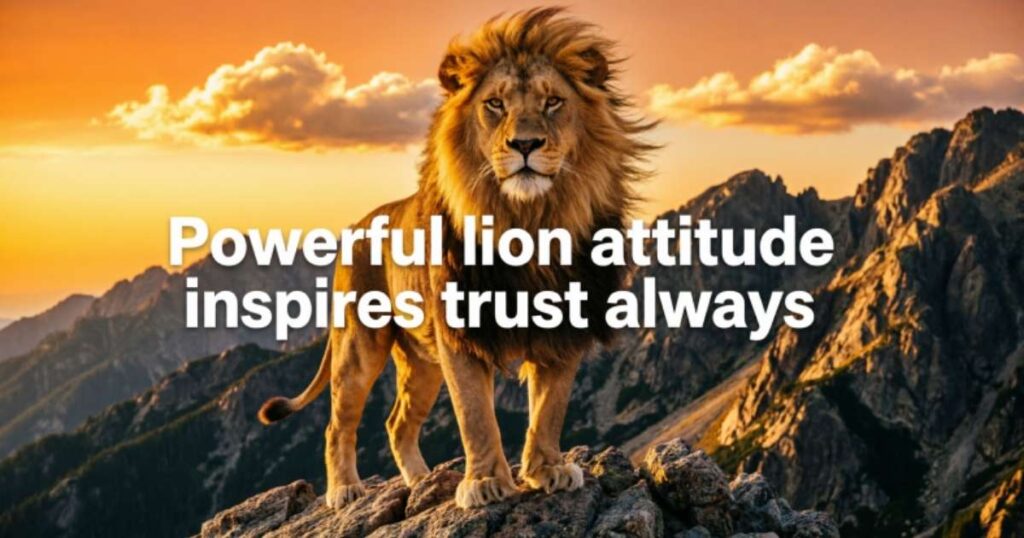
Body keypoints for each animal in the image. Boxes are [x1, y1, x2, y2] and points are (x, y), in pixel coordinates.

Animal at [257, 7, 655, 510]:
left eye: (553, 102)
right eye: (495, 104)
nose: (526, 145)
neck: (527, 222)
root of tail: (357, 227)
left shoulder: (566, 328)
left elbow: (549, 409)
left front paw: (547, 470)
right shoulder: (459, 333)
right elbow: (475, 416)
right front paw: (485, 483)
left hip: (421, 364)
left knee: (396, 423)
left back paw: (420, 483)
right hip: (358, 347)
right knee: (337, 424)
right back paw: (346, 490)